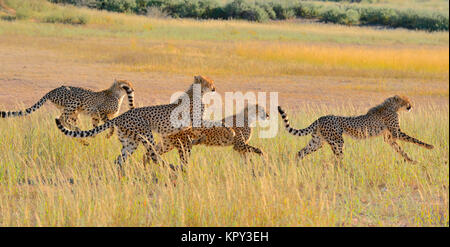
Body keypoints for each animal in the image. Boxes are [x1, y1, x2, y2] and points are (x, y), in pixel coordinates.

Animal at [1, 79, 135, 141]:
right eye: (126, 84)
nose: (132, 90)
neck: (117, 94)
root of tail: (52, 90)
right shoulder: (100, 112)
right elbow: (109, 124)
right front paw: (108, 134)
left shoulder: (95, 116)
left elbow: (96, 126)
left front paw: (94, 136)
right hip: (74, 102)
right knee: (63, 119)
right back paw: (77, 130)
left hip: (73, 111)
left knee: (63, 119)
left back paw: (76, 131)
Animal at [54, 75, 216, 168]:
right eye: (210, 83)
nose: (214, 88)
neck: (197, 92)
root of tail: (123, 115)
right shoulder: (197, 121)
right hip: (146, 134)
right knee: (152, 153)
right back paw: (167, 167)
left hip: (130, 142)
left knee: (120, 159)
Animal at [280, 95, 434, 163]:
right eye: (406, 101)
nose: (410, 106)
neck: (392, 106)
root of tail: (321, 117)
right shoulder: (396, 132)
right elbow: (414, 139)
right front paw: (429, 146)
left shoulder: (389, 137)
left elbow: (399, 148)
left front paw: (410, 160)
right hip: (337, 141)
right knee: (338, 157)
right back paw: (344, 168)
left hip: (317, 141)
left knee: (300, 152)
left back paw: (296, 165)